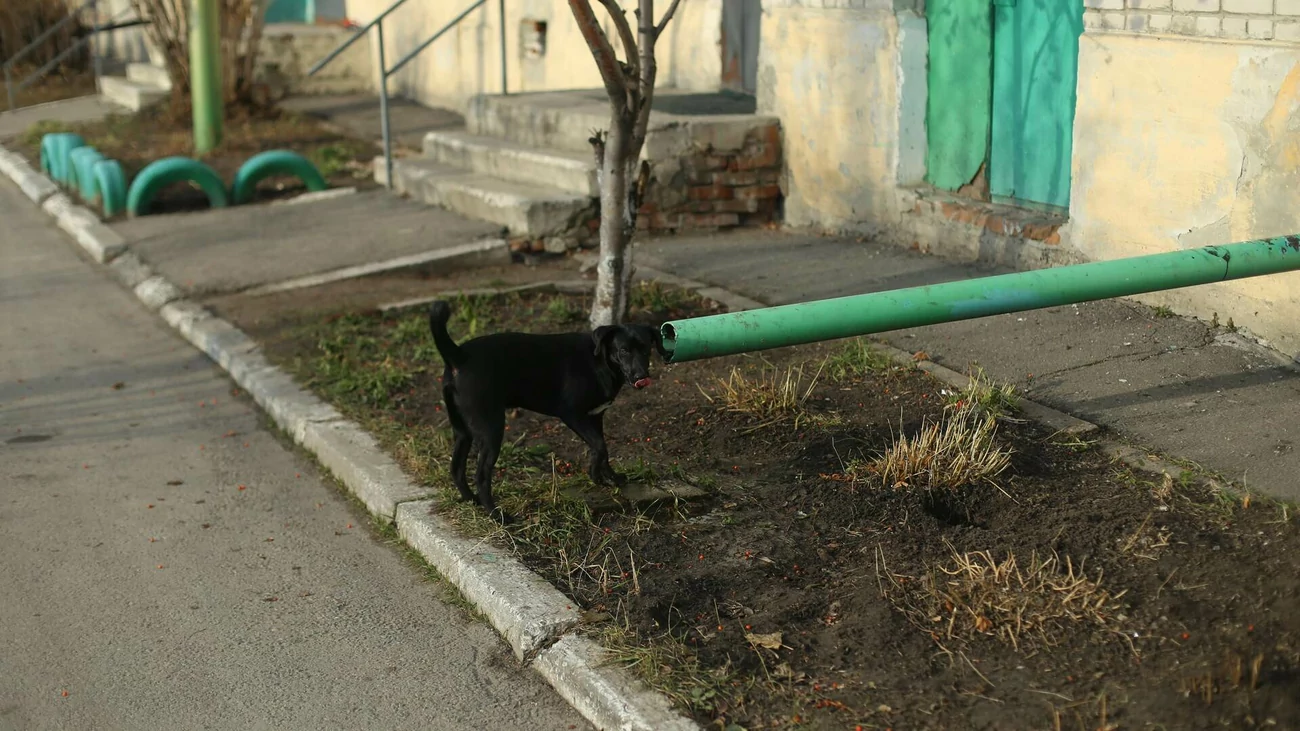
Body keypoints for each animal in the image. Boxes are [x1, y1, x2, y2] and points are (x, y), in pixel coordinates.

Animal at [428, 300, 665, 517]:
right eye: (623, 350)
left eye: (646, 349)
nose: (642, 376)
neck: (599, 361)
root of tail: (458, 356)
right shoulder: (572, 414)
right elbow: (599, 446)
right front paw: (596, 475)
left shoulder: (596, 417)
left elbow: (602, 448)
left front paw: (608, 477)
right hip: (491, 429)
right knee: (481, 475)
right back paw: (497, 515)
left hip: (463, 431)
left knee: (456, 469)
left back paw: (472, 501)